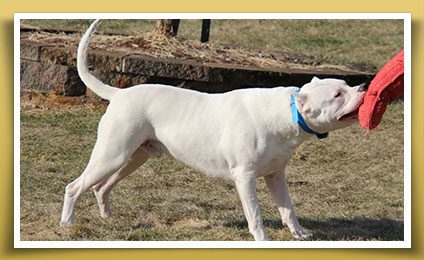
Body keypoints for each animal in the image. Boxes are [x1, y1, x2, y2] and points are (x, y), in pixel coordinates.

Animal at [59, 19, 368, 241]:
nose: (364, 87)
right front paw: (263, 240)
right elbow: (255, 214)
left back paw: (107, 217)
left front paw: (300, 234)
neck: (286, 112)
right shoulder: (245, 177)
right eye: (337, 94)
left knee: (101, 187)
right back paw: (67, 223)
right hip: (112, 155)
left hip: (133, 157)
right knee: (75, 186)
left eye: (345, 84)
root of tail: (120, 93)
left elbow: (288, 208)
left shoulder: (276, 175)